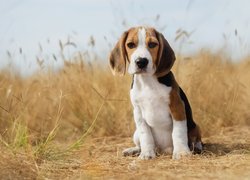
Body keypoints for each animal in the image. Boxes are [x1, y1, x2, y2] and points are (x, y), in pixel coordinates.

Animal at [109, 26, 203, 159]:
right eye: (130, 45)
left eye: (152, 44)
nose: (141, 61)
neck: (147, 81)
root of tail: (163, 150)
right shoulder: (138, 112)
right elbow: (145, 135)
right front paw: (147, 154)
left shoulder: (177, 106)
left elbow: (178, 132)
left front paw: (181, 152)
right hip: (136, 134)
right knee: (140, 143)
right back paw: (133, 150)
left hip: (195, 127)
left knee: (196, 139)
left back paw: (197, 147)